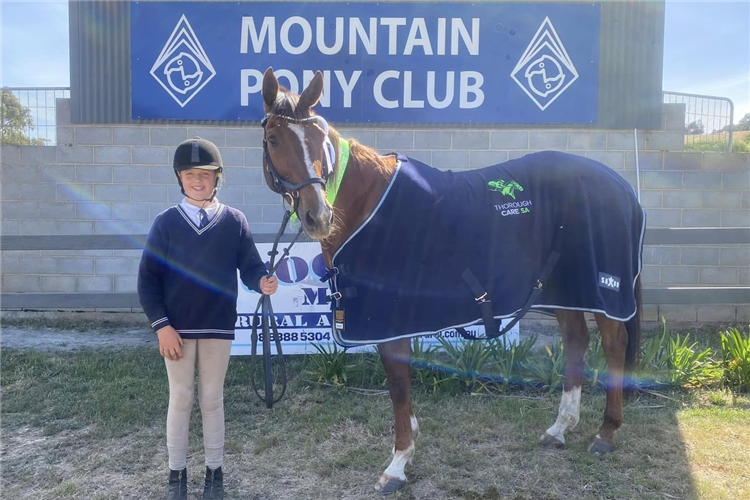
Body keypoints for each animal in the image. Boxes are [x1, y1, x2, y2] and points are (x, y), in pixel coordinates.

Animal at [258, 68, 648, 494]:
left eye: (320, 139)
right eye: (274, 139)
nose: (319, 216)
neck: (368, 205)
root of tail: (622, 186)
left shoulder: (390, 321)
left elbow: (398, 387)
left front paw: (397, 464)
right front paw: (408, 442)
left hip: (602, 293)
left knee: (613, 344)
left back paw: (605, 433)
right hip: (564, 291)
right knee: (577, 341)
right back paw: (559, 429)